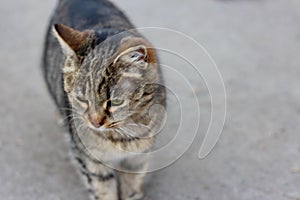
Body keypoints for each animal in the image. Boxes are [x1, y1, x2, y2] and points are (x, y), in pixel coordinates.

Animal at [41, 0, 166, 200]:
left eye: (115, 102)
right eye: (82, 98)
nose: (95, 123)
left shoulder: (138, 158)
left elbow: (131, 185)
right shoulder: (89, 161)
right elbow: (103, 190)